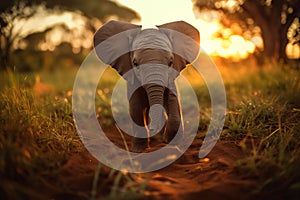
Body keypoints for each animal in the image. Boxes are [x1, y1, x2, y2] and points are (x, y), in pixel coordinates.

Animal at [94, 19, 199, 152]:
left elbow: (173, 101)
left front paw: (172, 143)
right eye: (135, 63)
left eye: (170, 62)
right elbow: (136, 106)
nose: (153, 128)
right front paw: (139, 150)